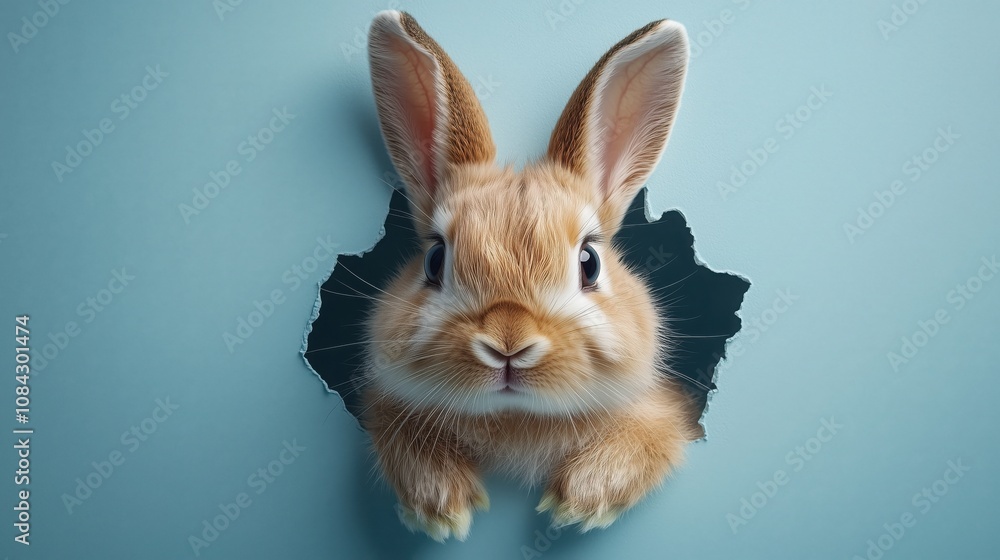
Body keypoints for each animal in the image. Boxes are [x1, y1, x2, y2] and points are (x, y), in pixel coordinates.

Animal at [361, 10, 702, 542]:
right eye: (435, 260)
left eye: (590, 262)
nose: (509, 342)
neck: (516, 419)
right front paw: (442, 510)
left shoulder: (664, 414)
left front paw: (577, 502)